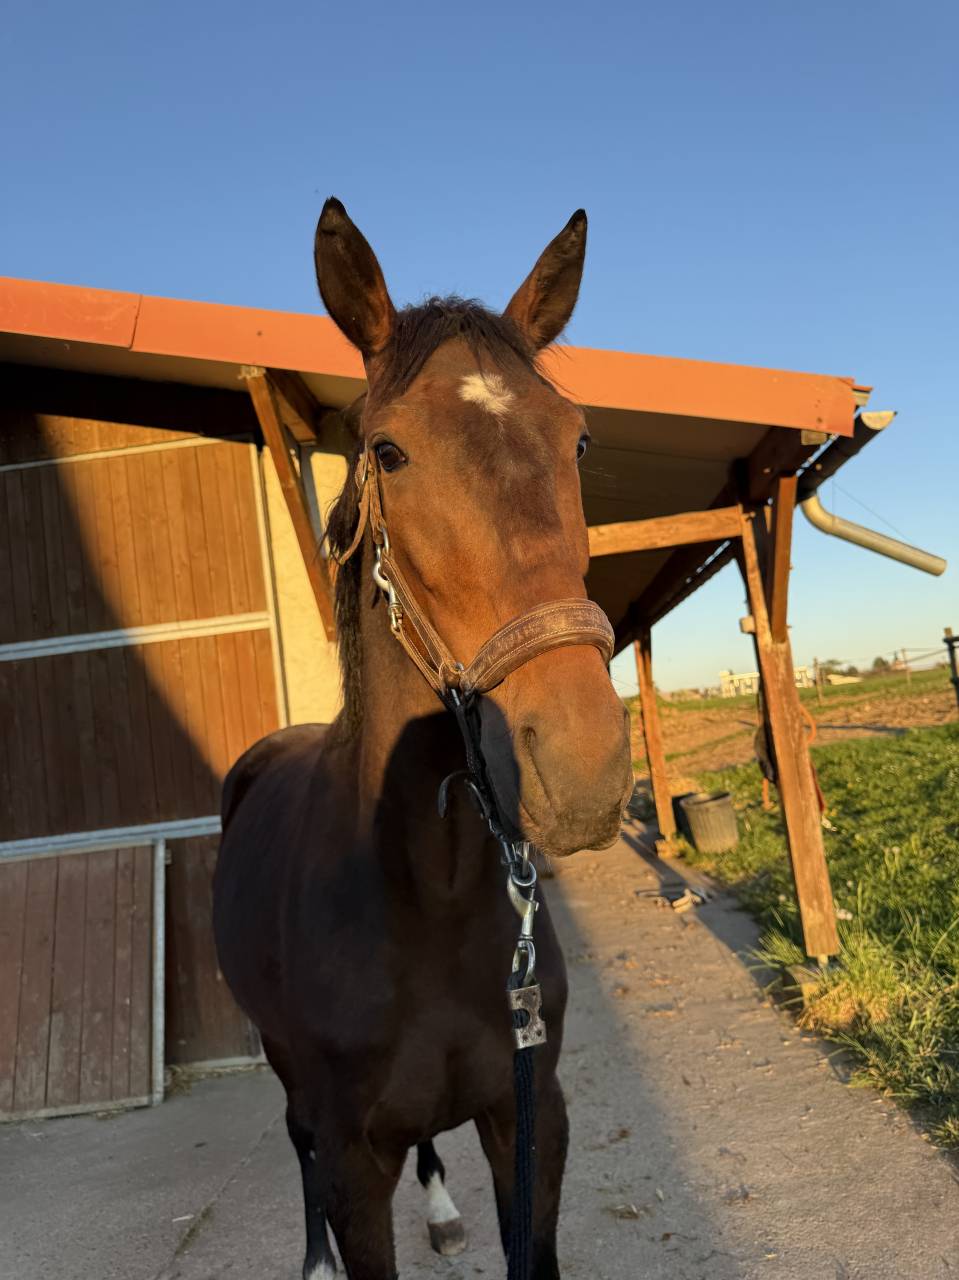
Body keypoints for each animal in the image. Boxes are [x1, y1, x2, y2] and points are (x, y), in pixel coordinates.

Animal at [212, 197, 633, 1280]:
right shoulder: (354, 1162)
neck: (423, 890)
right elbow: (336, 1179)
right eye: (389, 452)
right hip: (287, 1079)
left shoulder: (529, 1118)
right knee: (292, 1138)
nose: (581, 765)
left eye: (577, 441)